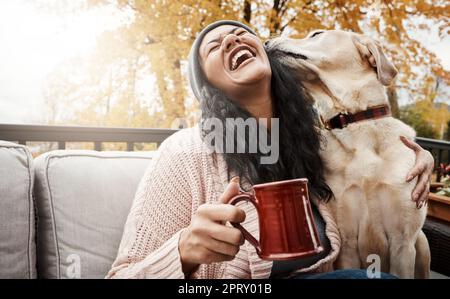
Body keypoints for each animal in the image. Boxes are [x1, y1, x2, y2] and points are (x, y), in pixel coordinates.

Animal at [266, 29, 430, 280]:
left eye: (316, 34)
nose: (266, 41)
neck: (355, 123)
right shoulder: (347, 241)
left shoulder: (403, 242)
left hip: (421, 243)